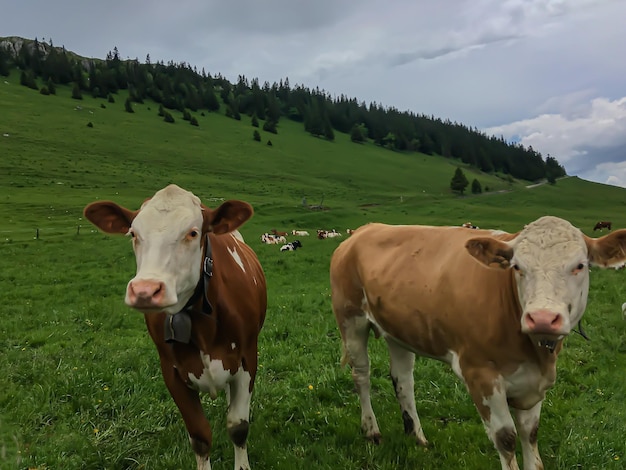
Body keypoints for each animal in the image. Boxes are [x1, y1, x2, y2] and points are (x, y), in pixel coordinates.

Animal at [83, 184, 266, 470]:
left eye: (192, 233)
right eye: (133, 234)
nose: (145, 290)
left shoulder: (247, 358)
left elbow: (238, 427)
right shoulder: (171, 372)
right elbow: (200, 437)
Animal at [330, 217, 624, 470]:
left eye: (580, 265)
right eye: (517, 267)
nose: (541, 318)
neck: (535, 354)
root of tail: (365, 229)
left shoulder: (532, 382)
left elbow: (530, 434)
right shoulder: (480, 373)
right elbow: (506, 437)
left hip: (399, 329)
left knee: (403, 381)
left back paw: (417, 436)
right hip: (350, 318)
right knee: (362, 376)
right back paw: (371, 430)